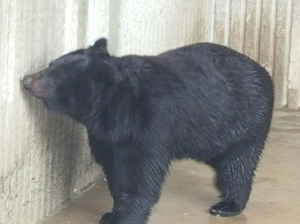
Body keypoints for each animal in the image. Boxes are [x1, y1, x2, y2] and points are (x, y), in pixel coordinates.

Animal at [22, 37, 274, 223]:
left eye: (53, 75)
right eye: (50, 65)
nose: (25, 79)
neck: (116, 109)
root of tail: (264, 72)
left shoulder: (150, 125)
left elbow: (139, 174)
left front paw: (122, 216)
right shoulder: (105, 136)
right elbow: (112, 167)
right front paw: (114, 210)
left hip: (245, 124)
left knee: (237, 165)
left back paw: (227, 205)